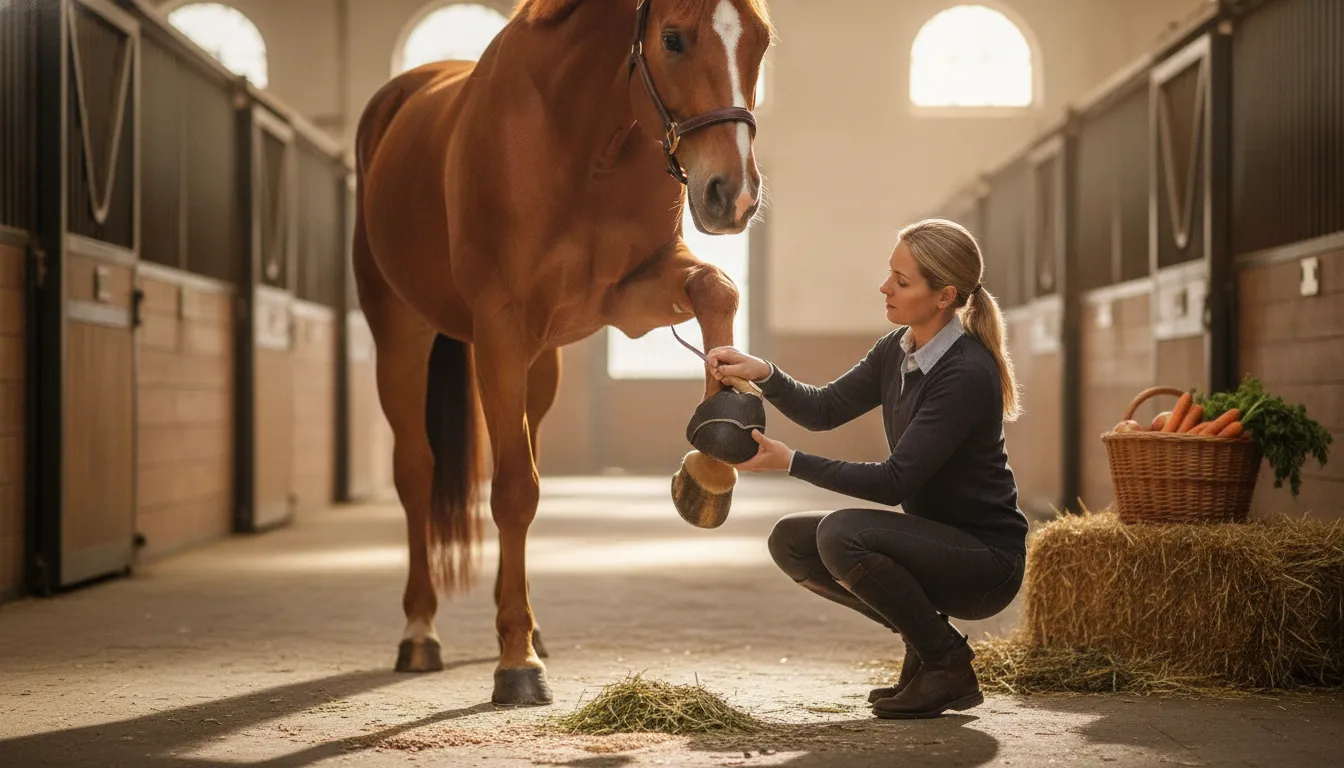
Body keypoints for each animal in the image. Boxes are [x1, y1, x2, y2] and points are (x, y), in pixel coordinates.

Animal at [352, 0, 773, 706]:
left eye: (761, 43)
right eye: (672, 39)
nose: (732, 194)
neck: (585, 139)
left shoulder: (634, 292)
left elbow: (717, 289)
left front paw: (709, 472)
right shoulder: (500, 324)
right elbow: (514, 491)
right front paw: (516, 665)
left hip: (538, 362)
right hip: (401, 335)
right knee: (417, 473)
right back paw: (421, 633)